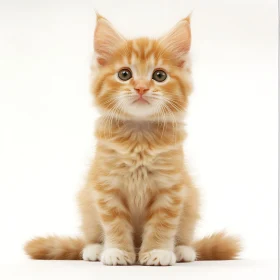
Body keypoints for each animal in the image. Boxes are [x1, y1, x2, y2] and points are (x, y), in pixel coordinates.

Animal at [24, 14, 241, 266]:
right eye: (124, 74)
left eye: (159, 75)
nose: (141, 88)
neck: (139, 138)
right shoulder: (106, 187)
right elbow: (114, 223)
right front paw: (117, 251)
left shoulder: (171, 188)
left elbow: (162, 224)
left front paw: (157, 251)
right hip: (86, 201)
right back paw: (94, 249)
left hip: (191, 201)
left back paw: (182, 251)